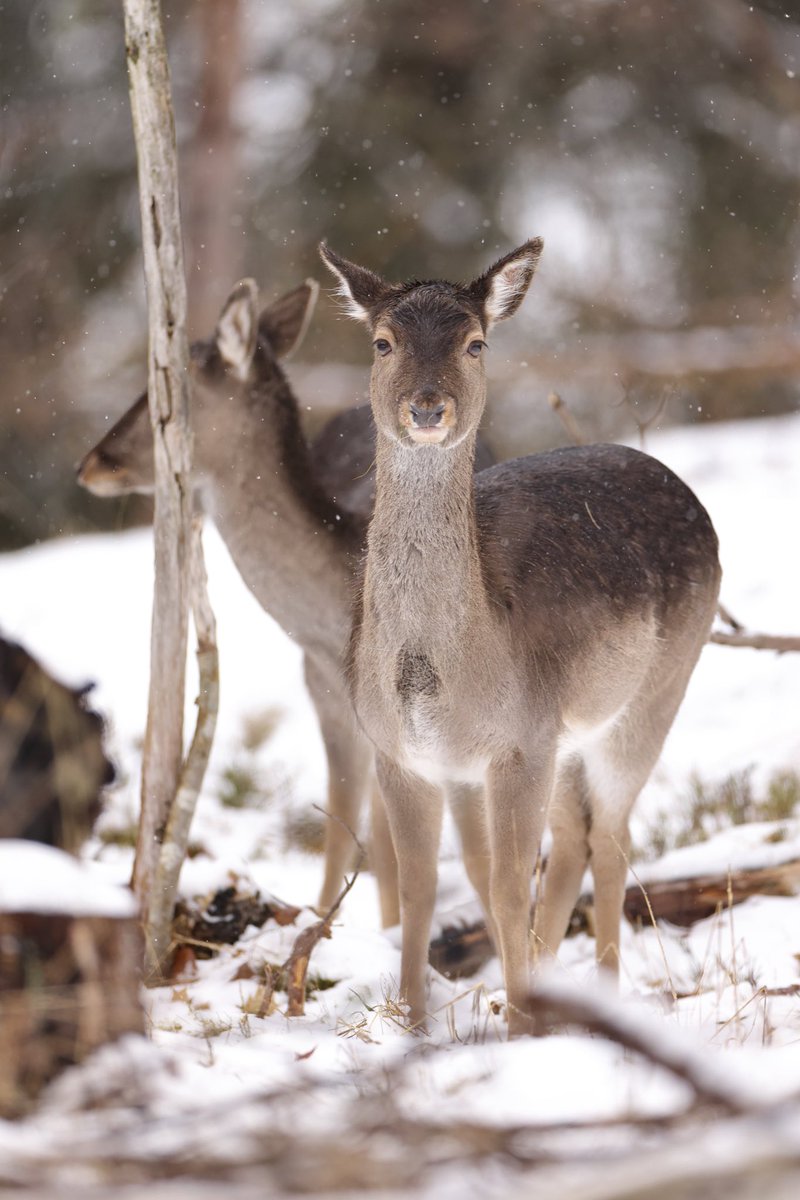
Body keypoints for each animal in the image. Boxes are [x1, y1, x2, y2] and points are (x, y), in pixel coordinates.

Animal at [320, 238, 721, 1037]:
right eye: (382, 341)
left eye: (476, 343)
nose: (427, 406)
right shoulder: (398, 751)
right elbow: (416, 887)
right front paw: (417, 1025)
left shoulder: (519, 740)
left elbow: (507, 884)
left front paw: (516, 1029)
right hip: (567, 734)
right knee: (572, 842)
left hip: (655, 693)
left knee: (611, 838)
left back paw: (599, 995)